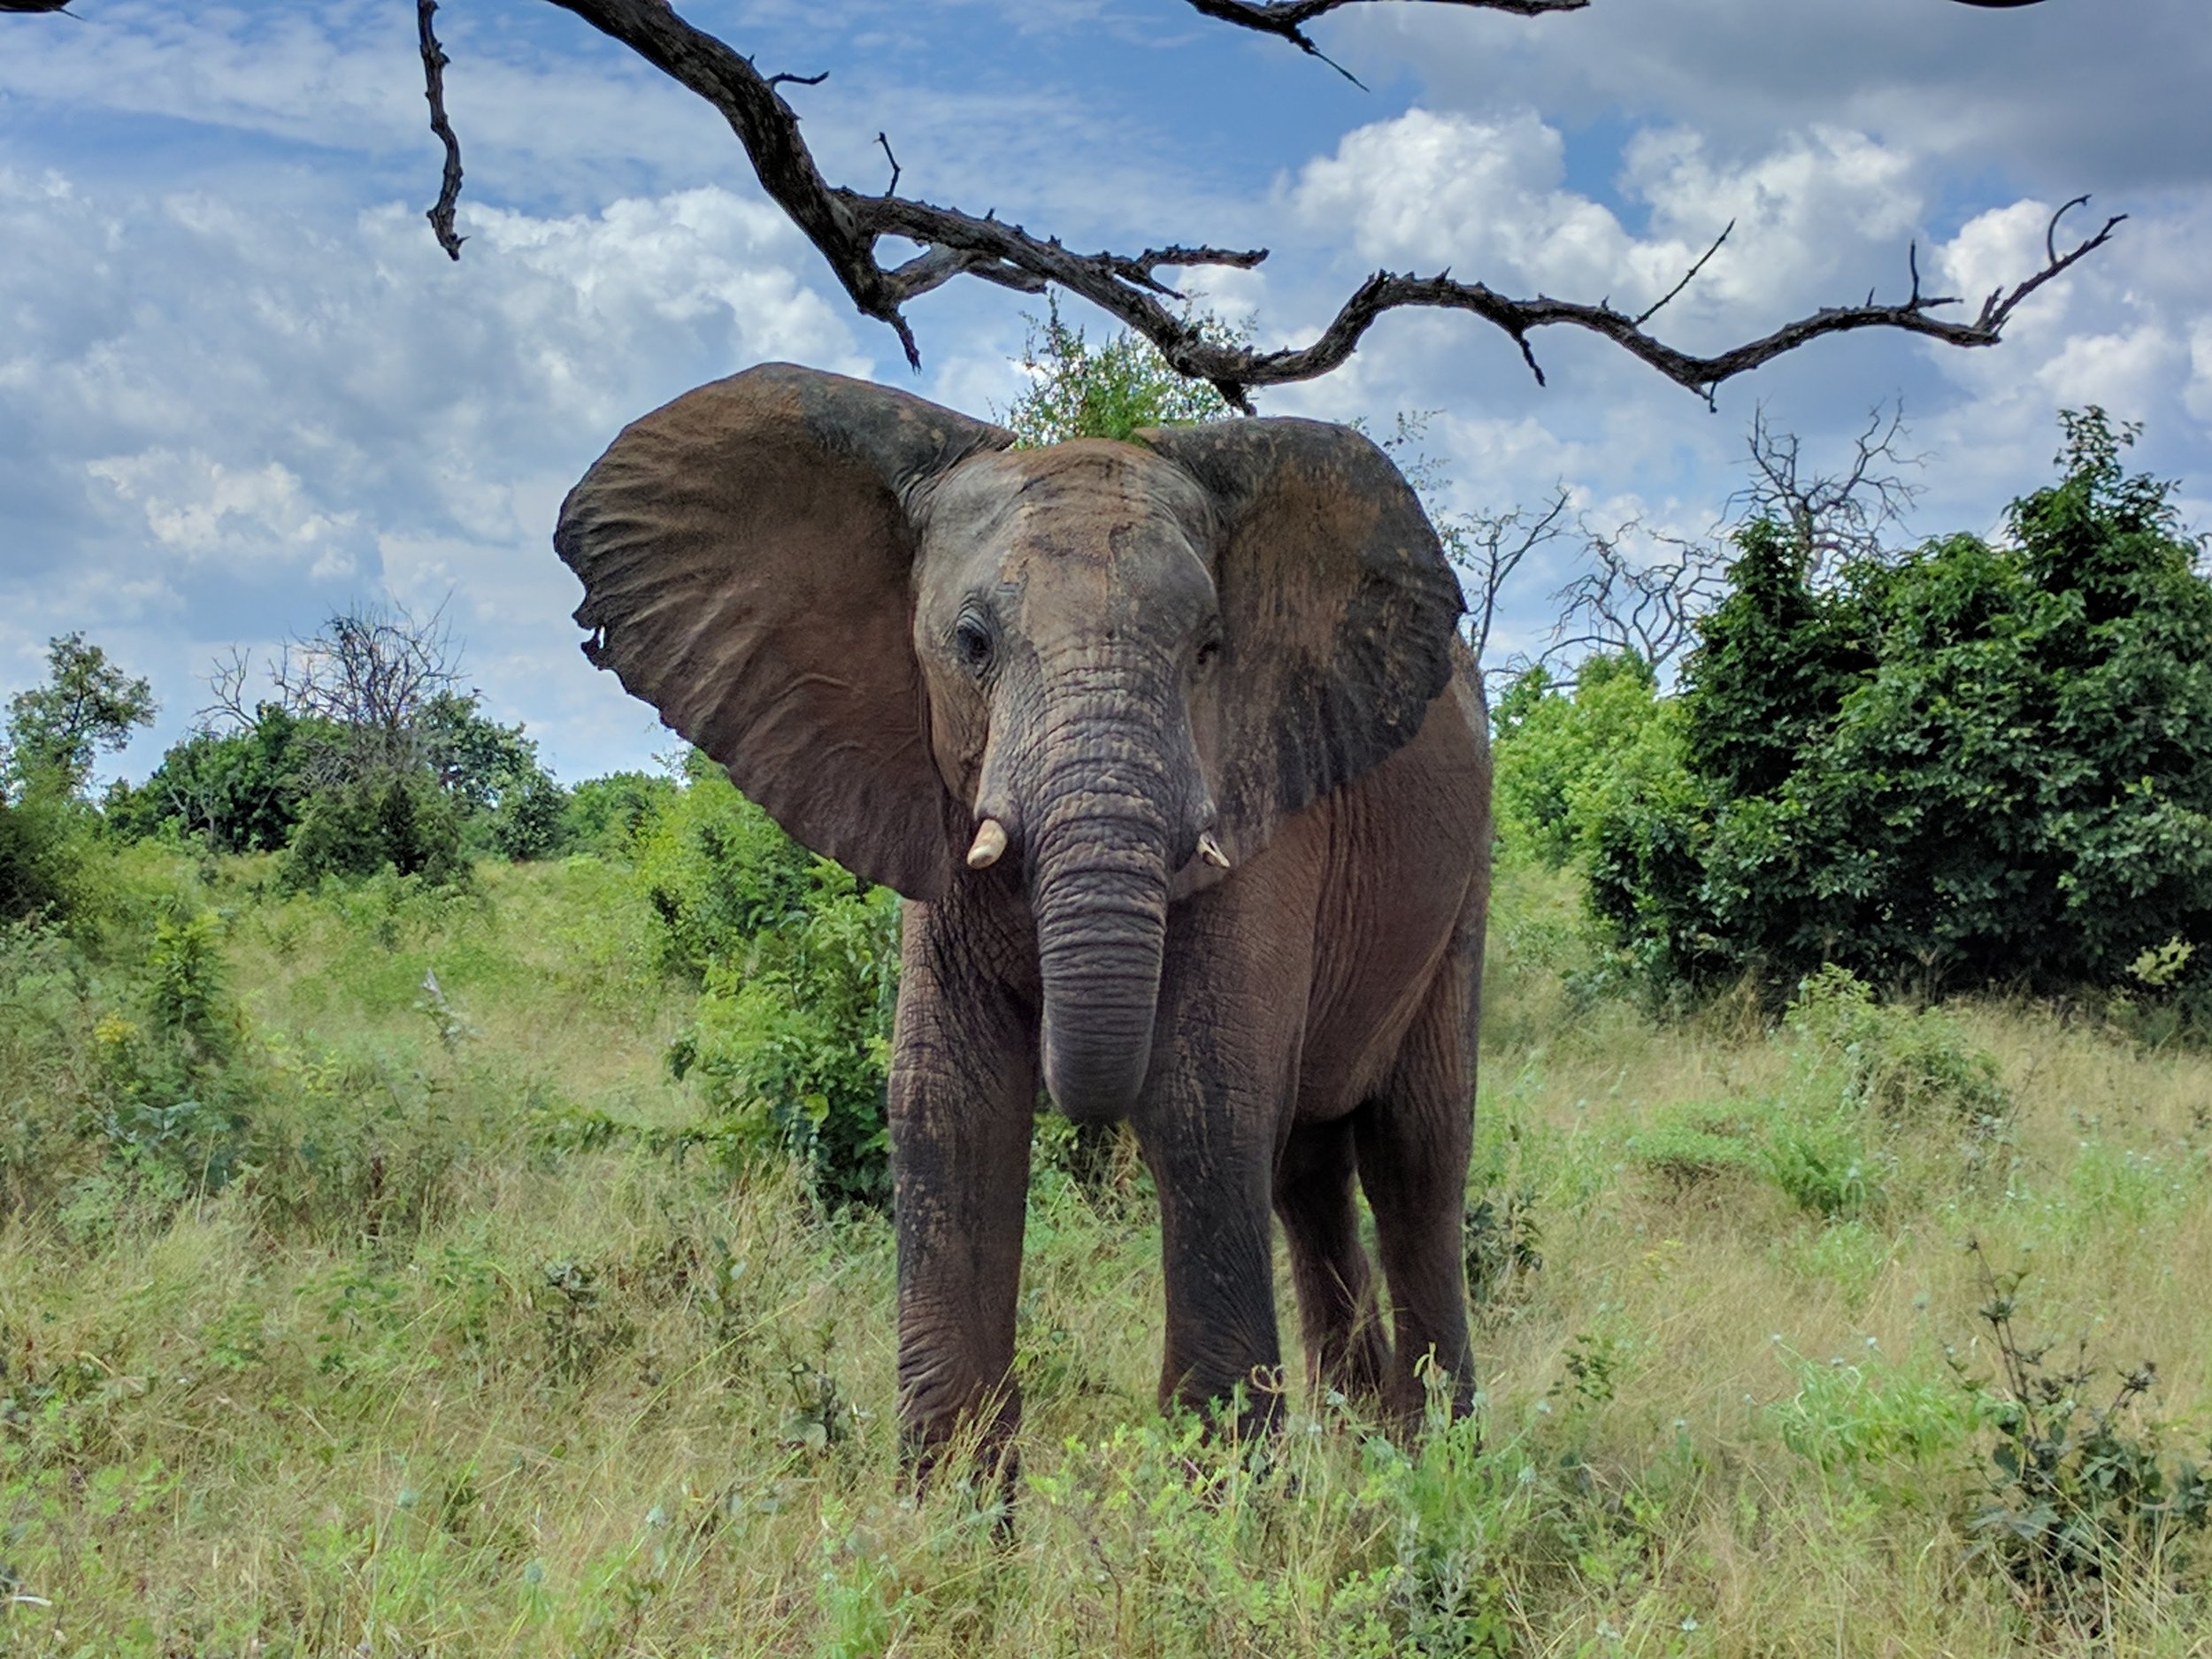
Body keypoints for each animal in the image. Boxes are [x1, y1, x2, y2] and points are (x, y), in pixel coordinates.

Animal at [554, 362, 1492, 1455]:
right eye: (971, 645)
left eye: (1210, 648)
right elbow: (945, 1109)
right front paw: (953, 1496)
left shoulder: (1257, 800)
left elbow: (1202, 1105)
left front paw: (1224, 1480)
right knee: (1307, 1165)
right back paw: (1359, 1440)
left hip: (1466, 879)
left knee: (1415, 1149)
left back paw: (1439, 1457)